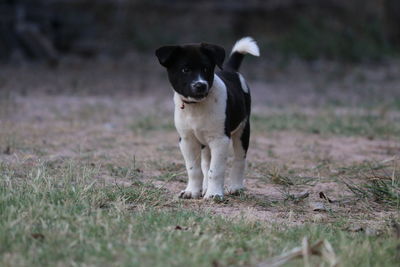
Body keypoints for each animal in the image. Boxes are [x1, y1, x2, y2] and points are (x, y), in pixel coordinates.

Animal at [156, 37, 260, 200]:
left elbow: (215, 170)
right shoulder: (187, 140)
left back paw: (236, 187)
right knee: (206, 164)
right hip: (204, 142)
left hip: (243, 130)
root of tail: (231, 70)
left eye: (206, 69)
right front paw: (192, 191)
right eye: (185, 70)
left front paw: (214, 194)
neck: (195, 107)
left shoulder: (220, 139)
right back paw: (204, 188)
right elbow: (194, 169)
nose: (200, 85)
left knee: (239, 159)